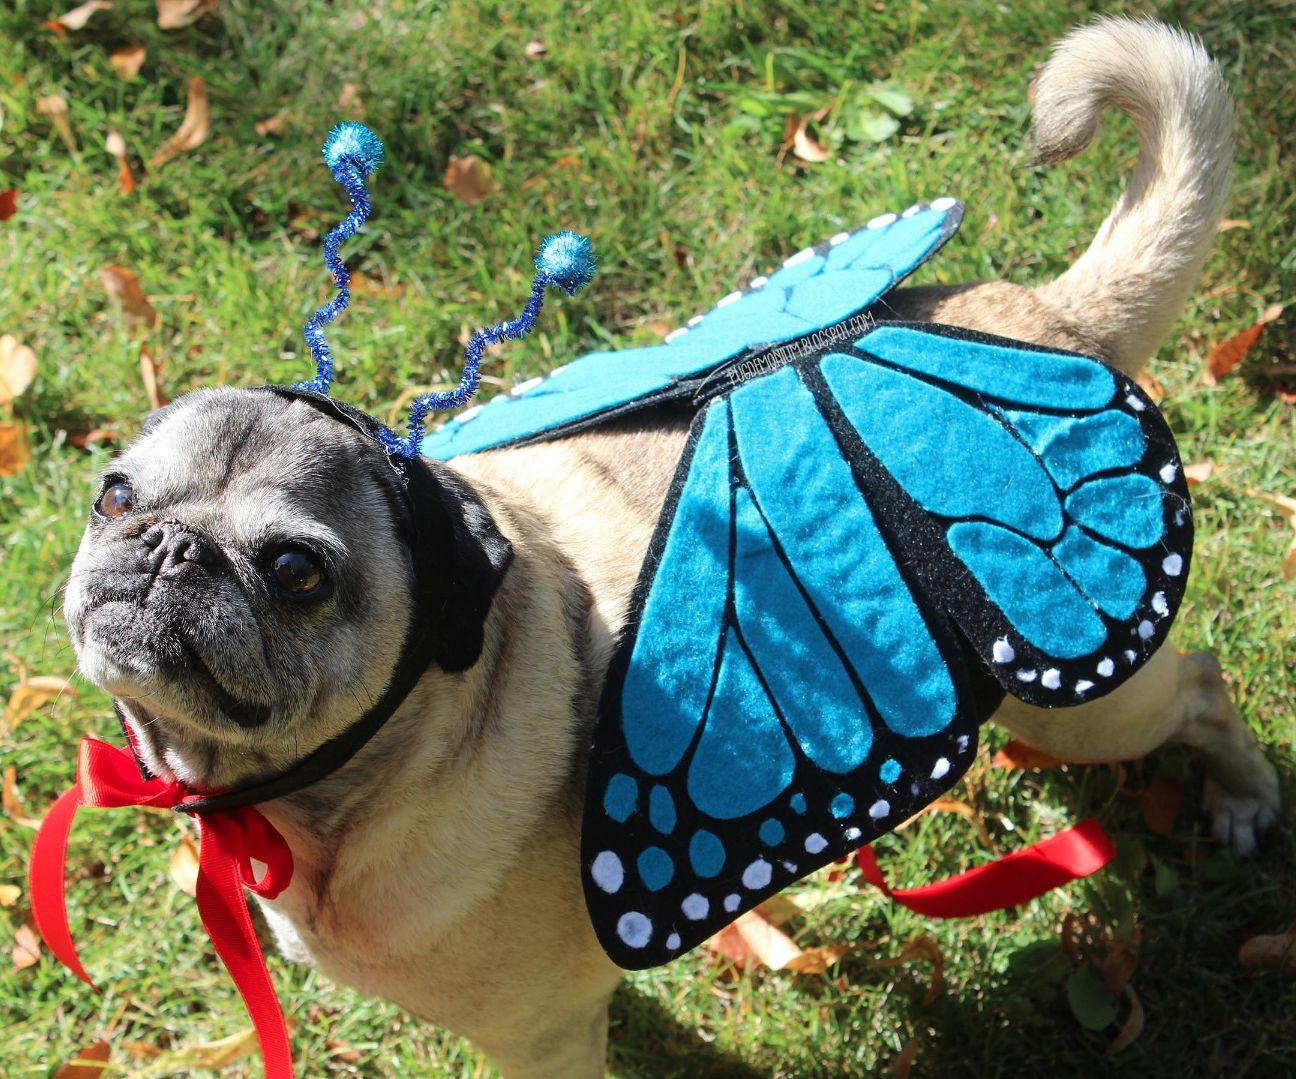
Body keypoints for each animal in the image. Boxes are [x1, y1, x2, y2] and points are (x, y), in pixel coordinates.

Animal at [58, 16, 1275, 1077]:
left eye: (295, 571)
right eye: (114, 497)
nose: (170, 547)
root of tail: (1046, 316)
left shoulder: (540, 1040)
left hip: (1081, 699)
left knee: (1203, 684)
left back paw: (1243, 798)